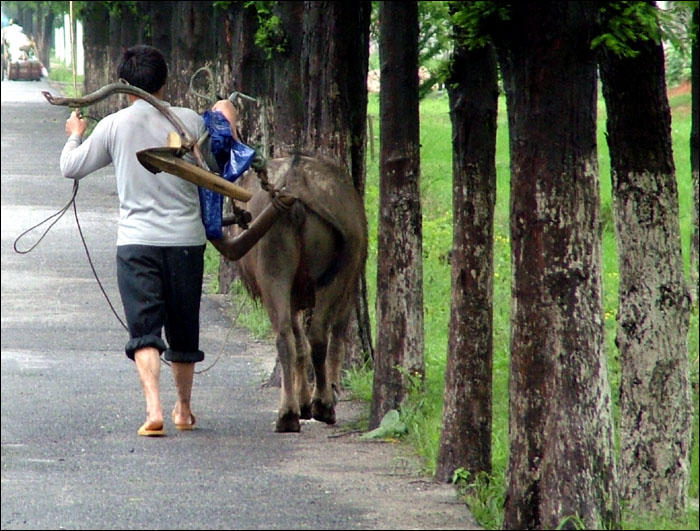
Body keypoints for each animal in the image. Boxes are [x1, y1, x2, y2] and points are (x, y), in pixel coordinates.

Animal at [212, 154, 370, 432]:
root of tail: (296, 183)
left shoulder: (295, 298)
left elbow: (300, 345)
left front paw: (303, 400)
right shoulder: (349, 291)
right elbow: (335, 340)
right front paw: (325, 391)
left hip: (273, 268)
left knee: (287, 336)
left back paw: (288, 413)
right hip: (336, 279)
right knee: (320, 335)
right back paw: (323, 404)